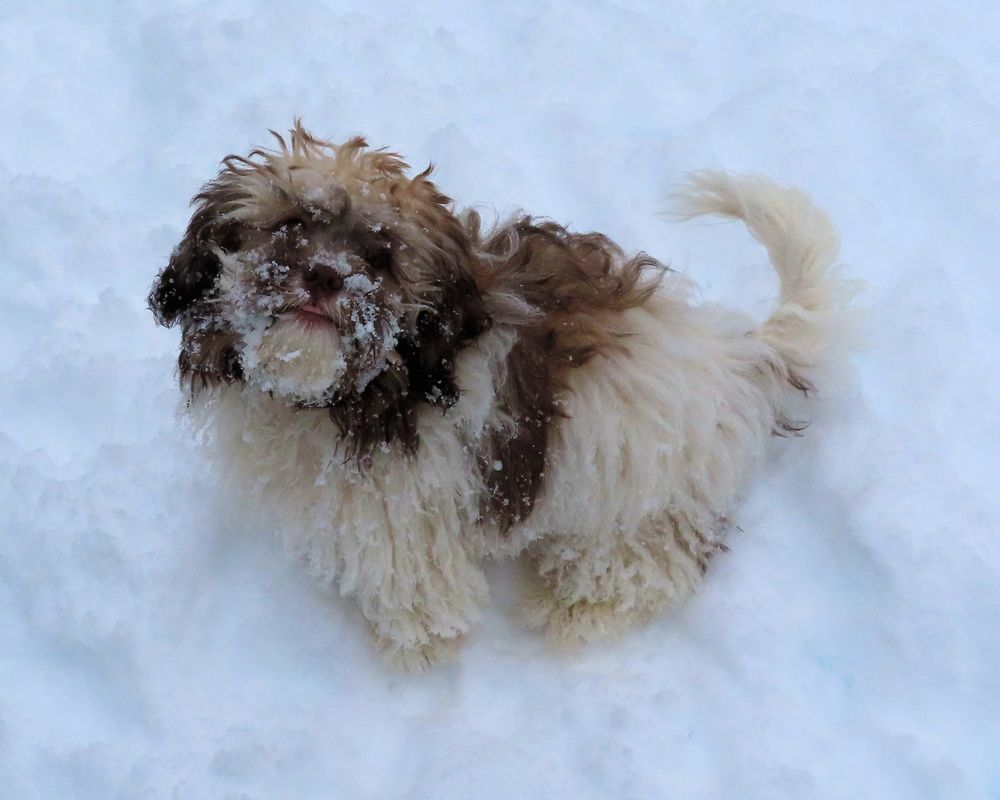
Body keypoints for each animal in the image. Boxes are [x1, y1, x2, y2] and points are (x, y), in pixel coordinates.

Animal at [152, 119, 856, 668]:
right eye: (291, 224)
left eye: (380, 256)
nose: (326, 276)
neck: (353, 392)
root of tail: (744, 359)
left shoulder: (406, 519)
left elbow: (420, 595)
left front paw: (416, 650)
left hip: (645, 504)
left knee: (648, 570)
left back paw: (571, 609)